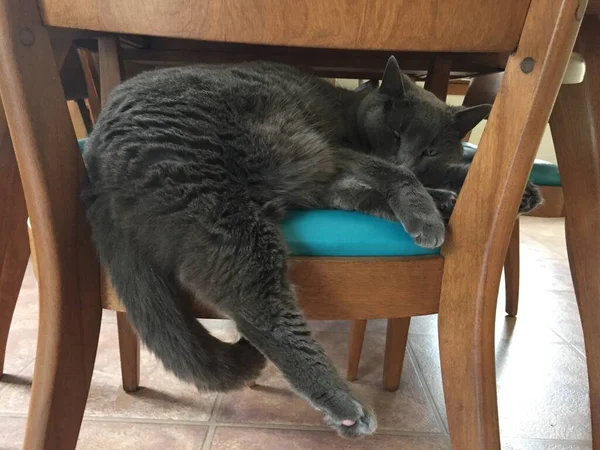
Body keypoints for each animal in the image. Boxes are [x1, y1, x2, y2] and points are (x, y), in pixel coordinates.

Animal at [82, 57, 536, 440]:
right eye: (395, 134)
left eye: (430, 148)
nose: (408, 158)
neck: (352, 114)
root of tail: (95, 161)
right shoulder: (339, 154)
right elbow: (389, 177)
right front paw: (427, 211)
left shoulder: (336, 177)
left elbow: (404, 183)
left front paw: (509, 192)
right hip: (238, 193)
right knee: (257, 309)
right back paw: (346, 406)